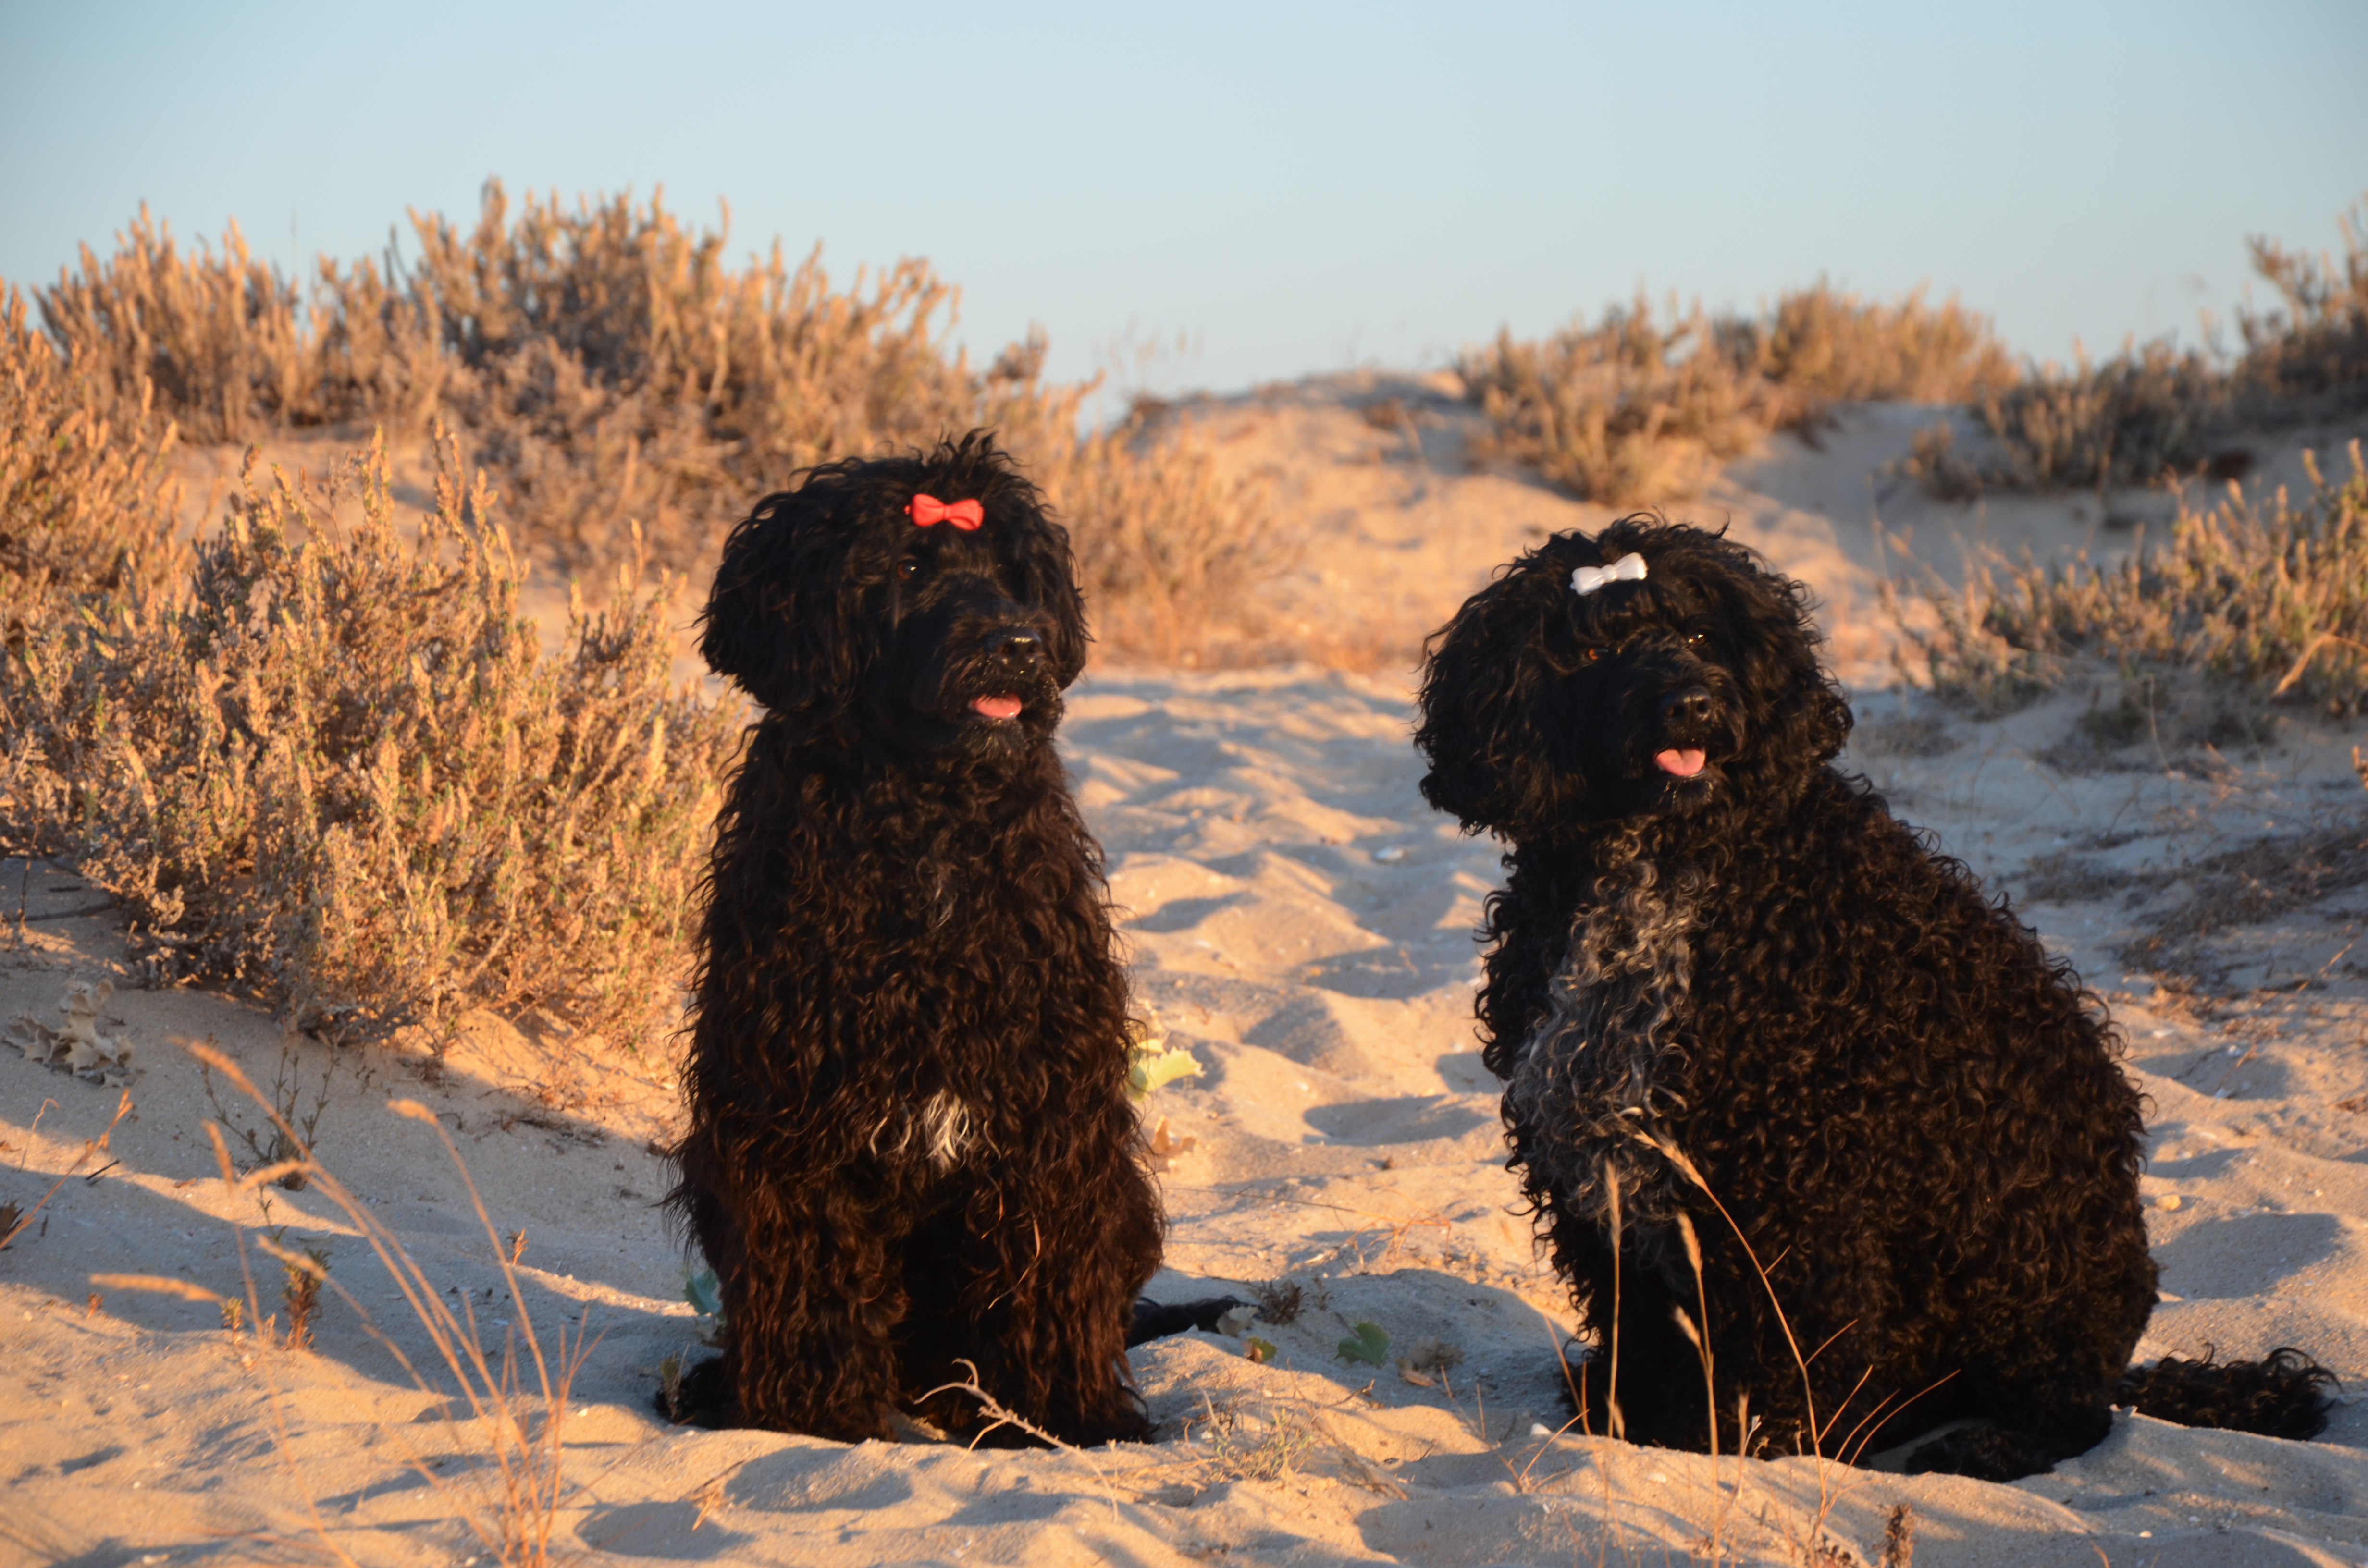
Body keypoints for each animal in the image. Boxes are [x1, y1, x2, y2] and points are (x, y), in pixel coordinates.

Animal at [663, 433, 1231, 1449]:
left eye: (1011, 573)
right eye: (907, 566)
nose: (1019, 643)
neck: (927, 818)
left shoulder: (1047, 1112)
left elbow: (1046, 1271)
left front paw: (1062, 1416)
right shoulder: (788, 1109)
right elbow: (808, 1265)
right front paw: (811, 1414)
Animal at [1411, 518, 2339, 1487]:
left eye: (1701, 634)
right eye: (1594, 650)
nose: (1691, 706)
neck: (1662, 858)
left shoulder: (1791, 1180)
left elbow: (1798, 1343)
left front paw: (1770, 1441)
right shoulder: (1600, 1170)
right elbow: (1650, 1334)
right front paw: (1637, 1420)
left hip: (2024, 1268)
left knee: (2074, 1413)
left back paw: (1988, 1442)